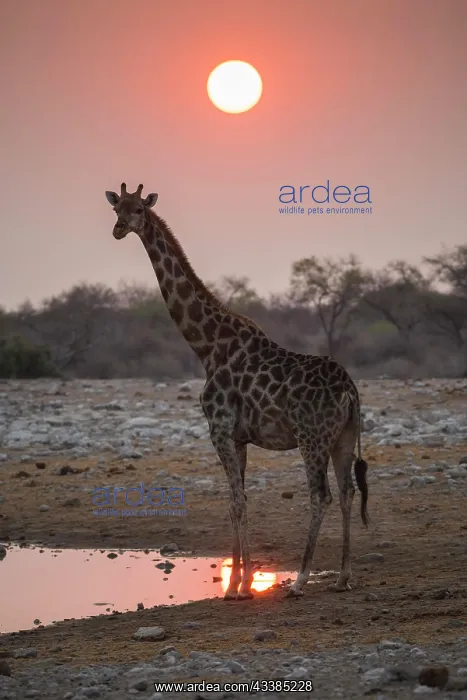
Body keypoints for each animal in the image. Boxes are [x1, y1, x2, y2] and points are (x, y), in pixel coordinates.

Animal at [105, 183, 369, 600]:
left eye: (138, 210)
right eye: (118, 208)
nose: (118, 229)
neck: (206, 346)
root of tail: (350, 392)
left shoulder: (219, 429)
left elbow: (236, 502)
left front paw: (238, 588)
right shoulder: (240, 437)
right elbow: (238, 500)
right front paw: (237, 583)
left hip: (311, 437)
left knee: (321, 495)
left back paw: (300, 580)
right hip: (343, 436)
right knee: (347, 493)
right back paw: (342, 577)